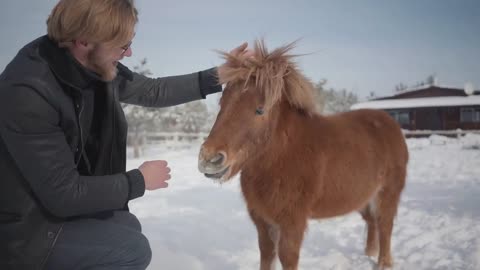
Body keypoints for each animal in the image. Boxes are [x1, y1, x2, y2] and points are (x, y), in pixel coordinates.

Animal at [199, 40, 408, 270]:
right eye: (222, 103)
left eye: (260, 110)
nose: (209, 159)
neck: (282, 157)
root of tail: (390, 123)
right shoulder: (262, 220)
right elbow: (267, 254)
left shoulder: (292, 222)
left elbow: (287, 257)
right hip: (364, 196)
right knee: (372, 222)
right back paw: (369, 253)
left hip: (387, 192)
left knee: (385, 225)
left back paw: (383, 262)